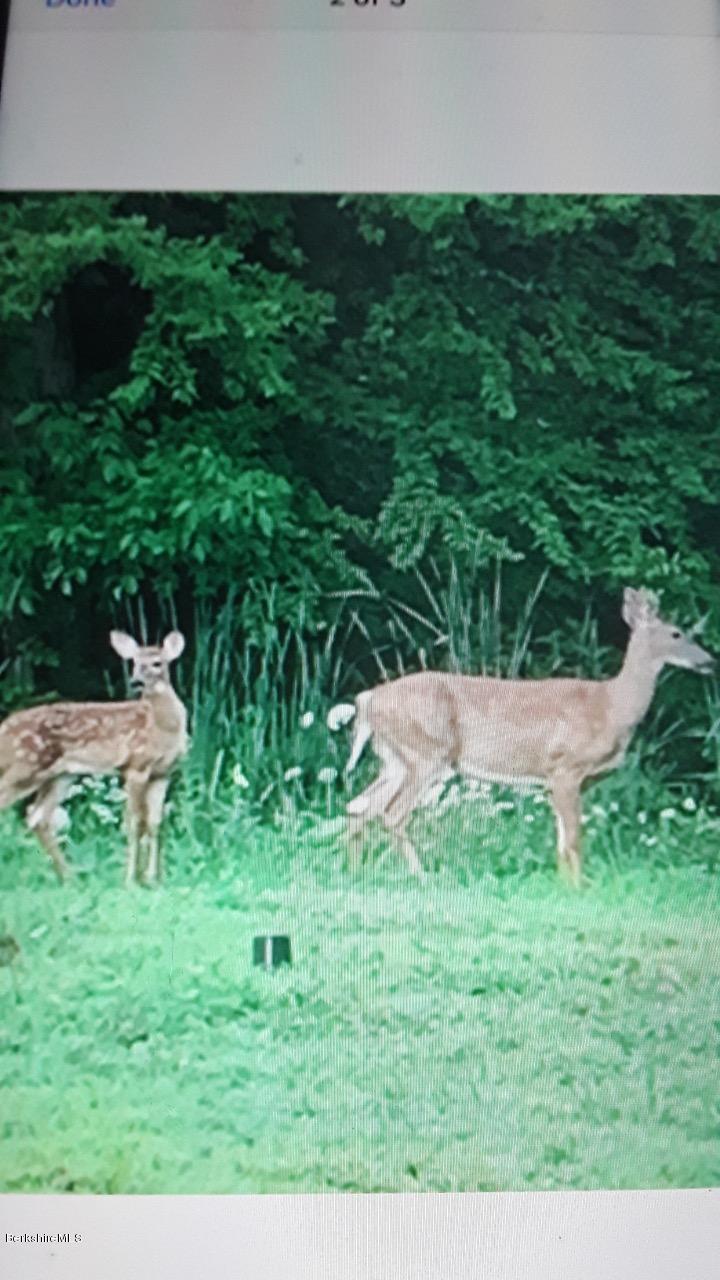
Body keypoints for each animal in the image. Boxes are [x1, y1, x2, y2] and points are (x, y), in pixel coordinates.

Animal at [0, 631, 187, 886]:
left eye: (157, 663)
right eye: (134, 663)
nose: (135, 682)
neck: (162, 727)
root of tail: (4, 729)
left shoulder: (163, 773)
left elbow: (154, 823)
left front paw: (153, 879)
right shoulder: (135, 766)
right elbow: (135, 822)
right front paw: (132, 880)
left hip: (61, 776)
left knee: (38, 818)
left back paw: (69, 877)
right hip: (25, 767)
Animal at [328, 589, 714, 885]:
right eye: (677, 633)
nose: (710, 660)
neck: (612, 707)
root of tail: (369, 700)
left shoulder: (557, 780)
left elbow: (561, 841)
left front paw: (564, 887)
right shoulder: (567, 767)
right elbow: (574, 838)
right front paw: (580, 889)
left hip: (395, 758)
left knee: (358, 806)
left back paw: (354, 872)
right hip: (426, 752)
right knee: (391, 814)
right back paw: (422, 876)